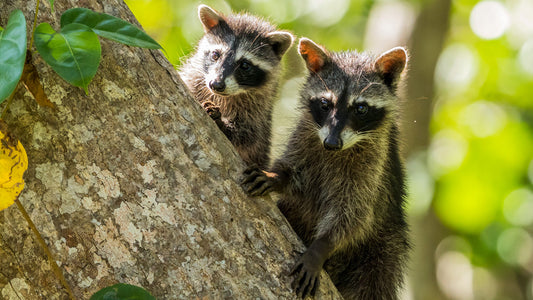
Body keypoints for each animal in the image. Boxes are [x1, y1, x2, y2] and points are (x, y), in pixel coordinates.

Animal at [181, 4, 294, 168]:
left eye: (245, 65)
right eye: (215, 55)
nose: (216, 84)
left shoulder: (258, 110)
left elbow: (248, 135)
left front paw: (222, 123)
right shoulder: (195, 79)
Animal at [243, 38, 410, 300]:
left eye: (360, 108)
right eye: (325, 104)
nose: (331, 144)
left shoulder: (373, 165)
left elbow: (353, 213)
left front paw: (322, 246)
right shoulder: (306, 135)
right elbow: (294, 170)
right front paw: (276, 176)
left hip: (384, 249)